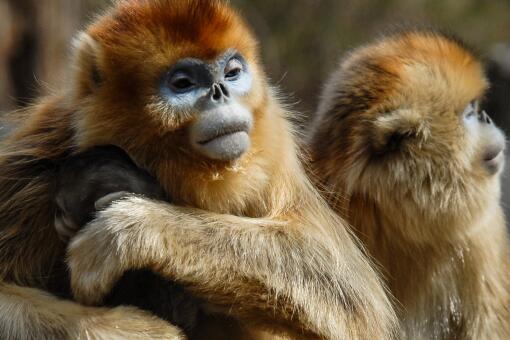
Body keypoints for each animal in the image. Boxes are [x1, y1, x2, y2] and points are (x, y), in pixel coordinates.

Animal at [0, 1, 398, 338]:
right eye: (183, 84)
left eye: (232, 72)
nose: (221, 92)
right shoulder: (37, 164)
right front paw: (133, 329)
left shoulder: (274, 142)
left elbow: (351, 299)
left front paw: (129, 229)